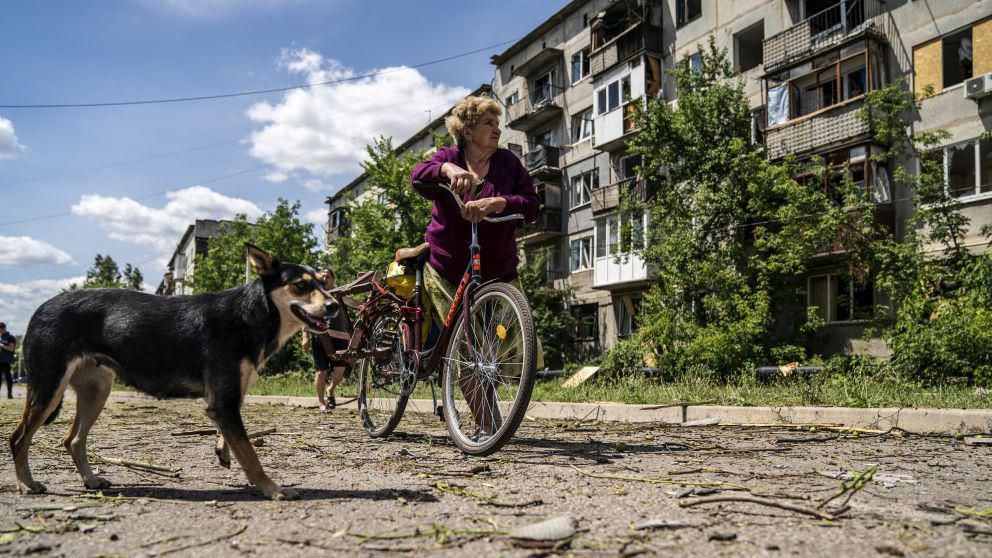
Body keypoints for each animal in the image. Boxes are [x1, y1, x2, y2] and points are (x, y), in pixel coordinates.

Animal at [8, 247, 338, 500]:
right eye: (300, 286)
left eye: (322, 283)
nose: (335, 305)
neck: (251, 313)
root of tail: (39, 309)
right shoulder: (225, 400)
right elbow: (251, 454)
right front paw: (273, 489)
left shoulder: (224, 400)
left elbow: (233, 438)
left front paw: (224, 451)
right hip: (49, 388)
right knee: (18, 438)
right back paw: (26, 484)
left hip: (96, 391)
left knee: (73, 440)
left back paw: (90, 480)